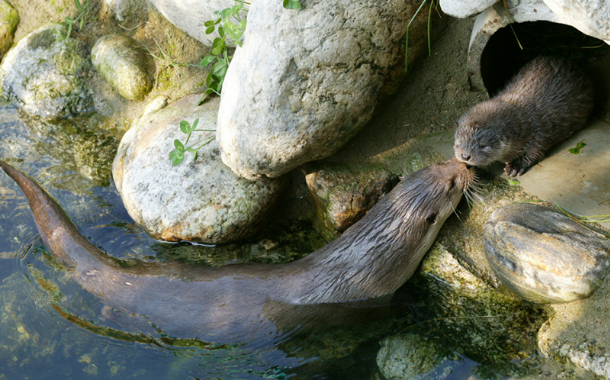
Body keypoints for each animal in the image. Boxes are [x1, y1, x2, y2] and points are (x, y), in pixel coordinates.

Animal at [454, 56, 592, 177]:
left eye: (483, 145)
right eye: (458, 141)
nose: (465, 156)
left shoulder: (539, 134)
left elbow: (535, 152)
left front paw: (515, 166)